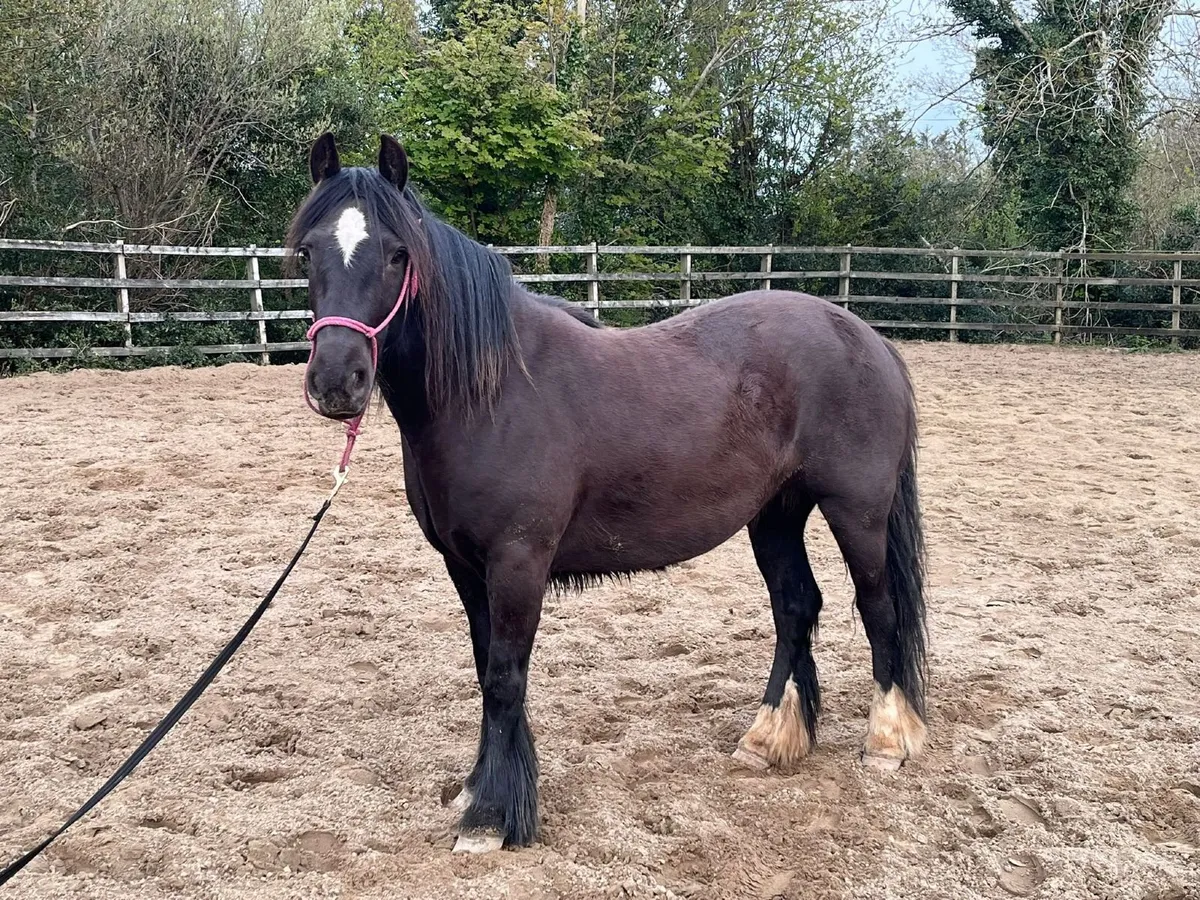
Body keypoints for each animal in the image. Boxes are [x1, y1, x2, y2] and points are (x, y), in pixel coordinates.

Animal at [288, 133, 929, 853]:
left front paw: (490, 820)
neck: (492, 392)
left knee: (879, 609)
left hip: (857, 513)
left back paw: (886, 743)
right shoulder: (465, 566)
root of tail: (867, 338)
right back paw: (767, 739)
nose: (337, 380)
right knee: (796, 606)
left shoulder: (517, 561)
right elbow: (487, 669)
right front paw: (489, 794)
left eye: (398, 254)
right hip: (775, 515)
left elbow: (504, 678)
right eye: (308, 251)